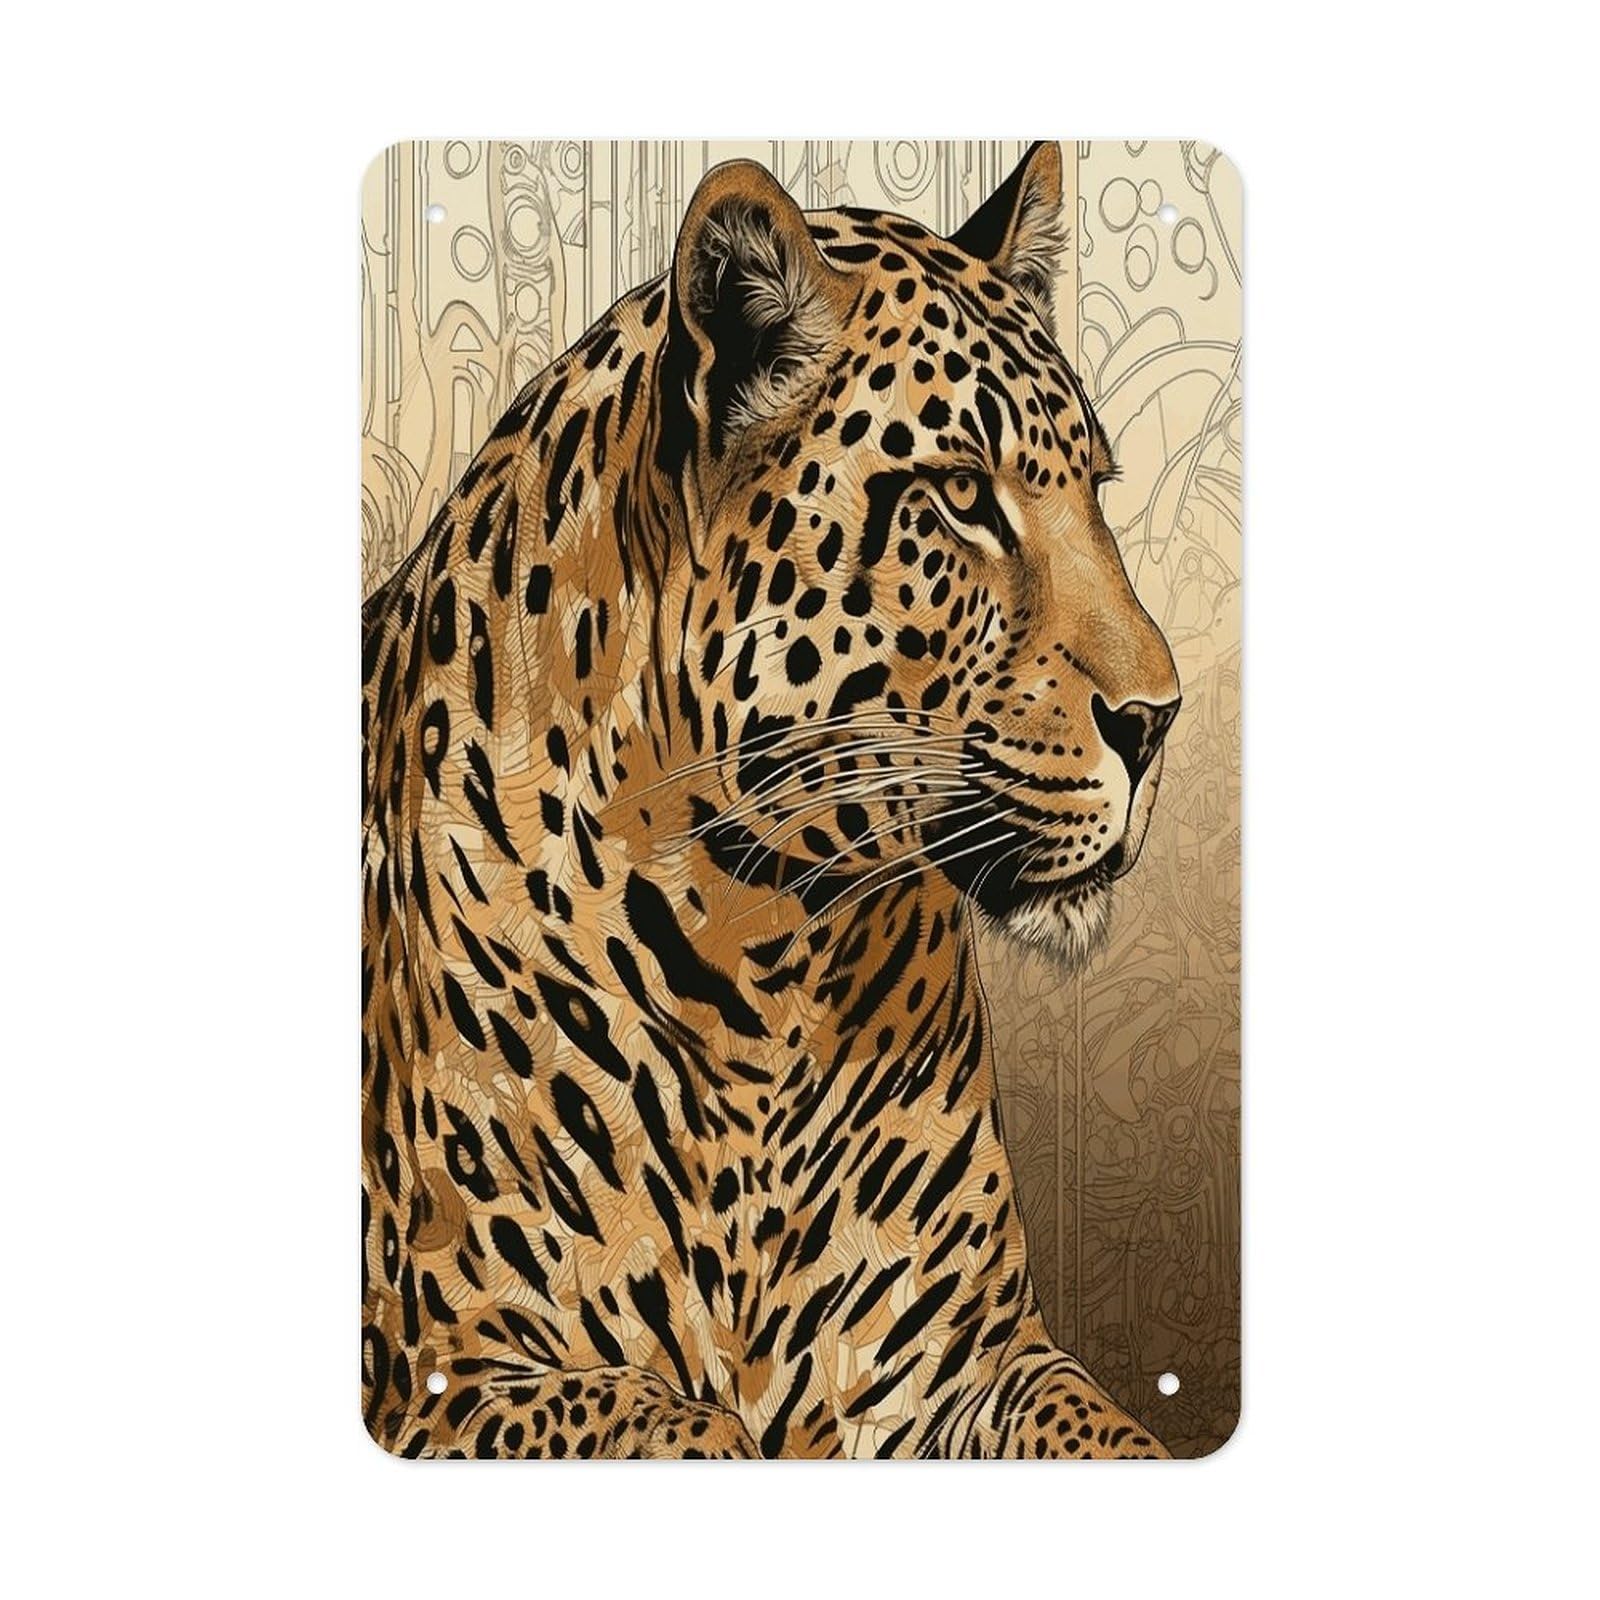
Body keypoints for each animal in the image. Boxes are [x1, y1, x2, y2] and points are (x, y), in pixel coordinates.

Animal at [361, 141, 1181, 1459]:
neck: (761, 965)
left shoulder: (971, 1362)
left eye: (1095, 491)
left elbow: (1109, 1435)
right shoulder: (450, 1375)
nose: (1159, 719)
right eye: (961, 495)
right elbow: (695, 1430)